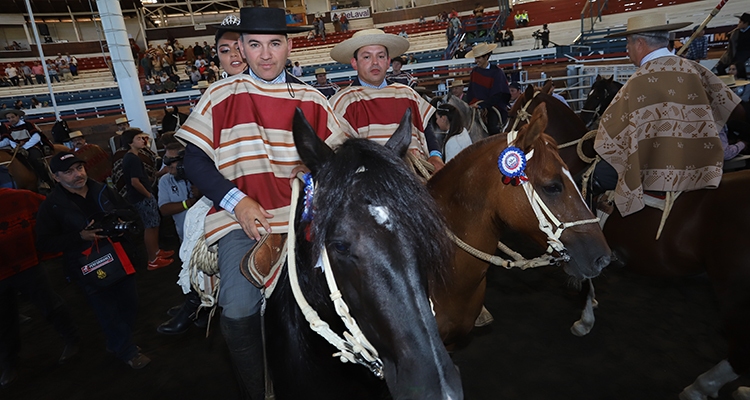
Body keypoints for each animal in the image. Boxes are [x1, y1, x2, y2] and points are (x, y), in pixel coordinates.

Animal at [506, 86, 750, 398]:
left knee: (741, 353)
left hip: (735, 293)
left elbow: (586, 280)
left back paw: (699, 387)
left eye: (513, 113)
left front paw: (584, 319)